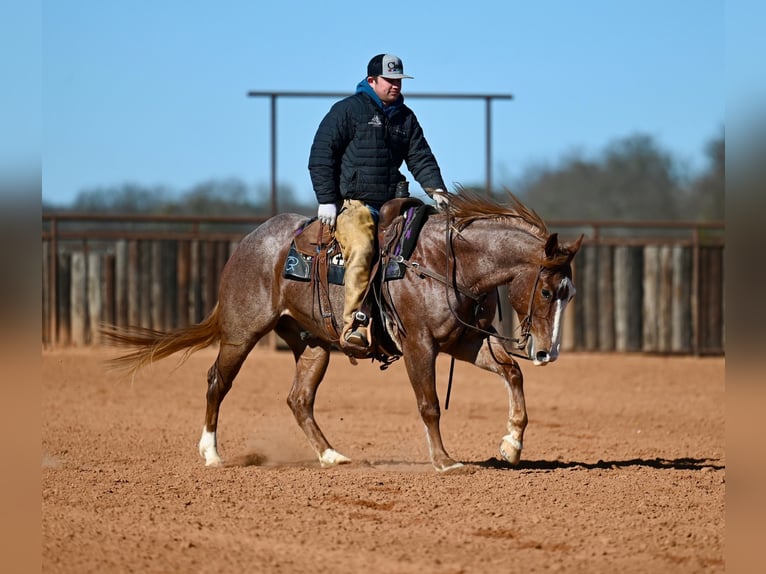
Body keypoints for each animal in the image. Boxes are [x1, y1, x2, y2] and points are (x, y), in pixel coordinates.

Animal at [104, 188, 583, 472]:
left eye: (569, 293)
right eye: (545, 289)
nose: (547, 352)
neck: (445, 262)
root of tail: (249, 242)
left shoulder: (464, 340)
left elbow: (512, 374)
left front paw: (511, 445)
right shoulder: (419, 345)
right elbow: (429, 404)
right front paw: (445, 460)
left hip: (313, 345)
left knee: (299, 399)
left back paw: (331, 455)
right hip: (243, 333)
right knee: (216, 381)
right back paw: (211, 453)